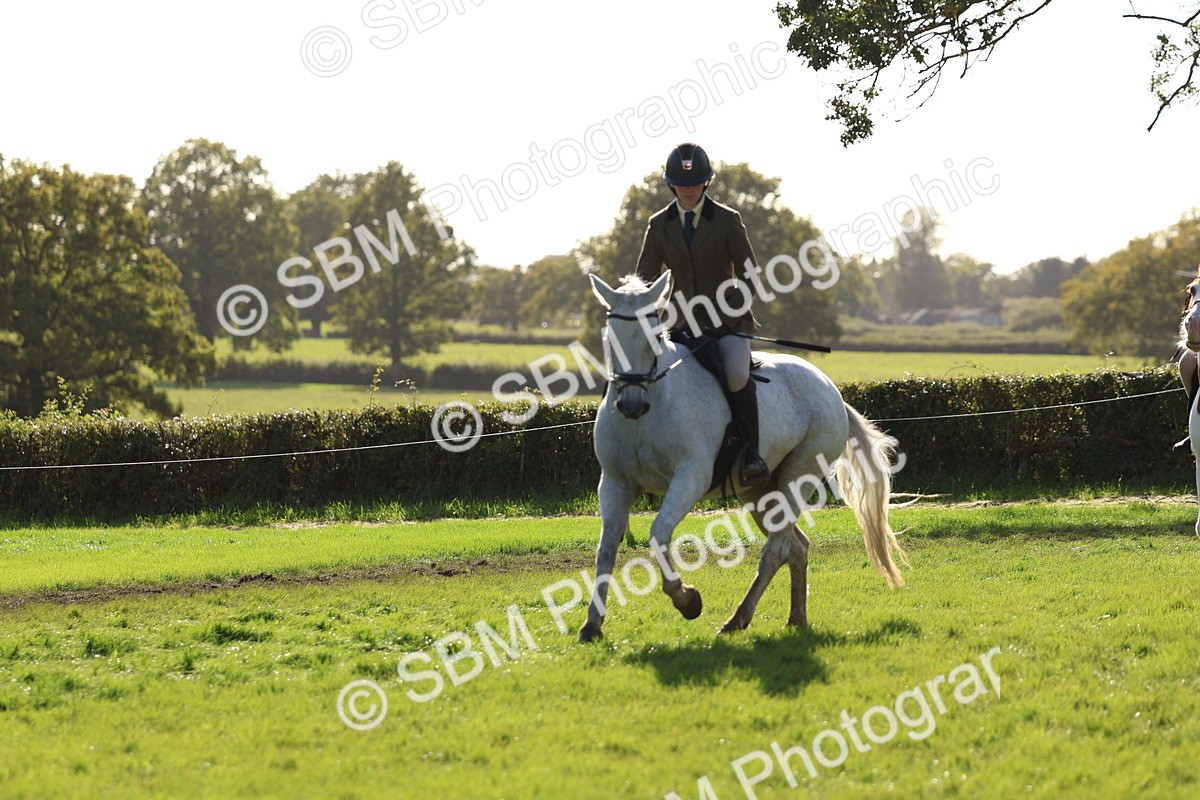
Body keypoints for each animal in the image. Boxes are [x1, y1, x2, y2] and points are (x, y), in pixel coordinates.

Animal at [580, 270, 908, 642]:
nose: (631, 405)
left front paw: (687, 600)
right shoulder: (615, 483)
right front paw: (592, 625)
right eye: (610, 339)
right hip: (760, 491)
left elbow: (659, 535)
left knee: (776, 550)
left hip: (799, 475)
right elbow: (606, 549)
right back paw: (796, 618)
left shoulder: (689, 478)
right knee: (796, 546)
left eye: (654, 339)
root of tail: (830, 389)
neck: (651, 406)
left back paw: (737, 620)